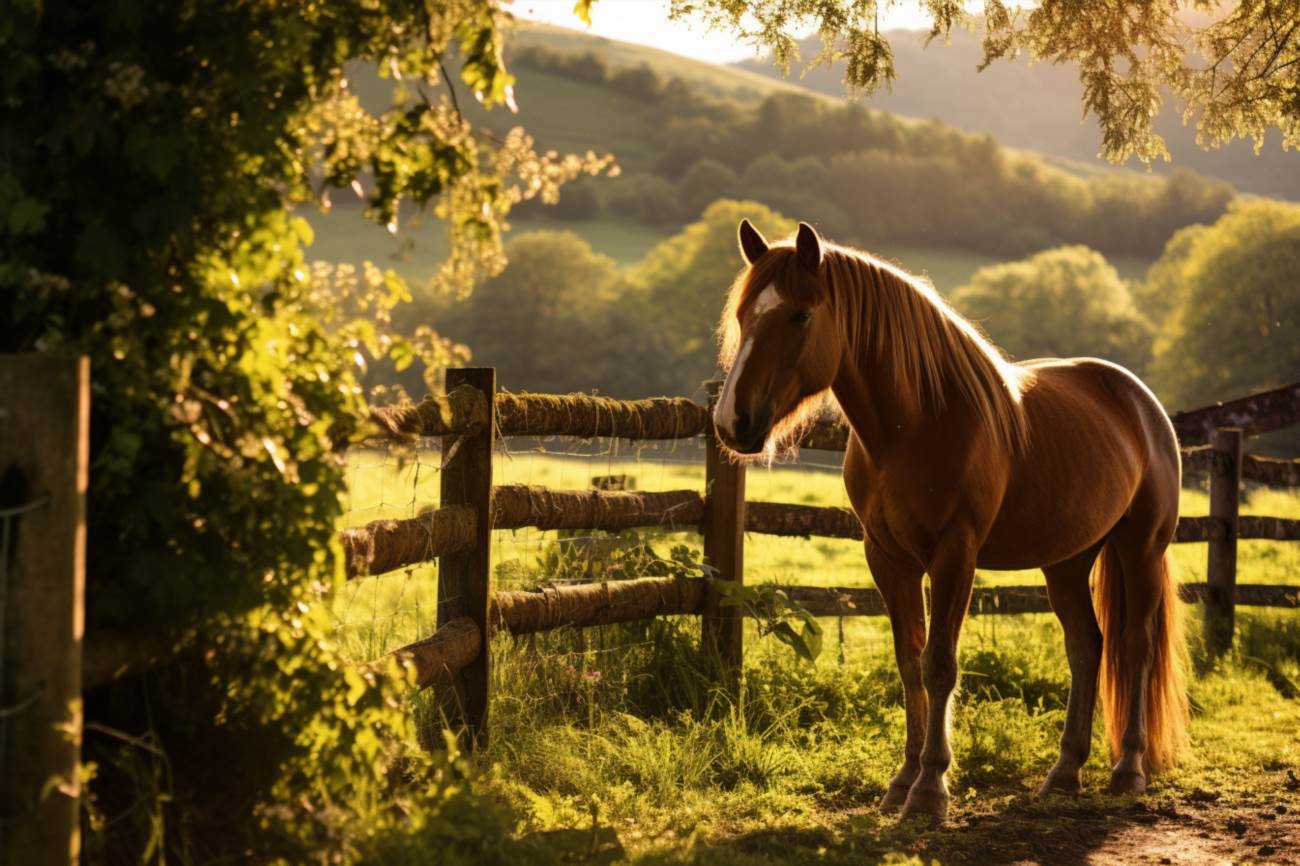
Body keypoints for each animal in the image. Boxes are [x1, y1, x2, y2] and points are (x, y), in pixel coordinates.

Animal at [717, 219, 1185, 821]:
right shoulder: (887, 559)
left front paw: (930, 789)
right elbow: (908, 662)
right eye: (743, 315)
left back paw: (1128, 769)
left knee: (1136, 645)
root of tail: (1141, 403)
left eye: (799, 315)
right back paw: (1064, 773)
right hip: (1066, 561)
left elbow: (939, 663)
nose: (732, 421)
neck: (915, 424)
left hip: (1140, 548)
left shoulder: (954, 556)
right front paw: (901, 781)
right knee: (1087, 646)